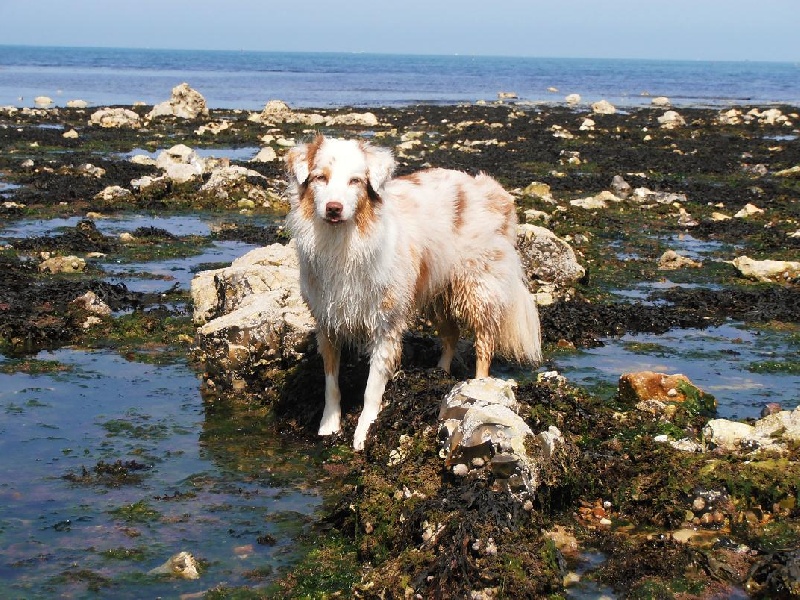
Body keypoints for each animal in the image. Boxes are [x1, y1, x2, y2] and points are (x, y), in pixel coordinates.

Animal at [284, 136, 540, 450]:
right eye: (320, 177)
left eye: (355, 181)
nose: (334, 208)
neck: (343, 244)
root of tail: (490, 188)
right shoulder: (327, 321)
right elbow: (331, 383)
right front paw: (328, 426)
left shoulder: (386, 326)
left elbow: (371, 389)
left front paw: (364, 433)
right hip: (435, 292)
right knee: (451, 335)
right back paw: (440, 372)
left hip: (477, 289)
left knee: (483, 343)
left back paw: (478, 388)